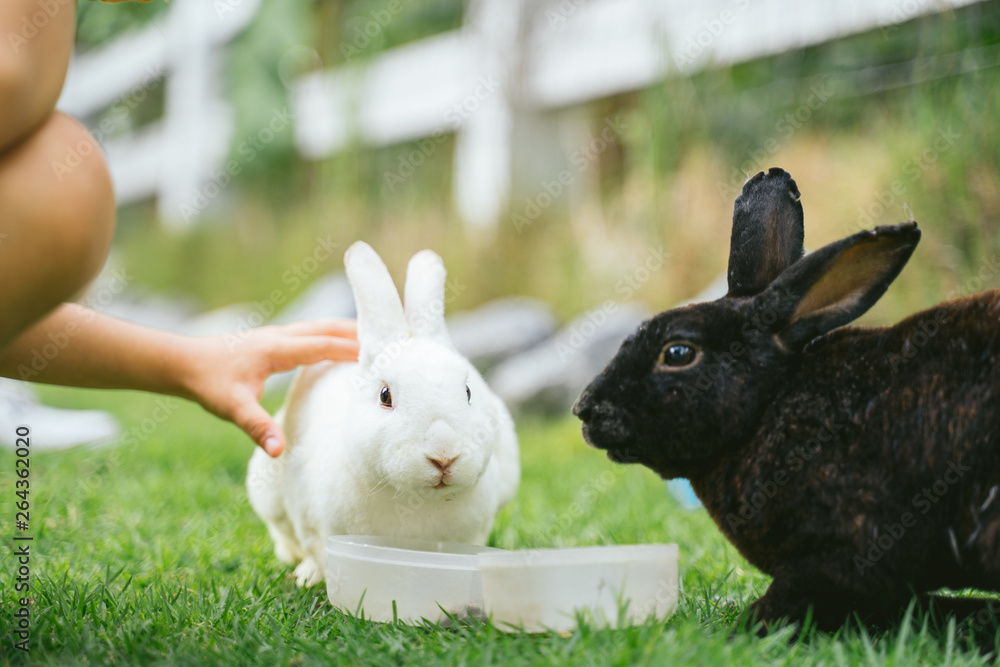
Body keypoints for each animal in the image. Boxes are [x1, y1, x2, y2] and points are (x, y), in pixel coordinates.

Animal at [246, 243, 520, 588]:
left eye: (469, 392)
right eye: (385, 396)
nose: (444, 455)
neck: (415, 502)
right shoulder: (312, 524)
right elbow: (317, 552)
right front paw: (310, 577)